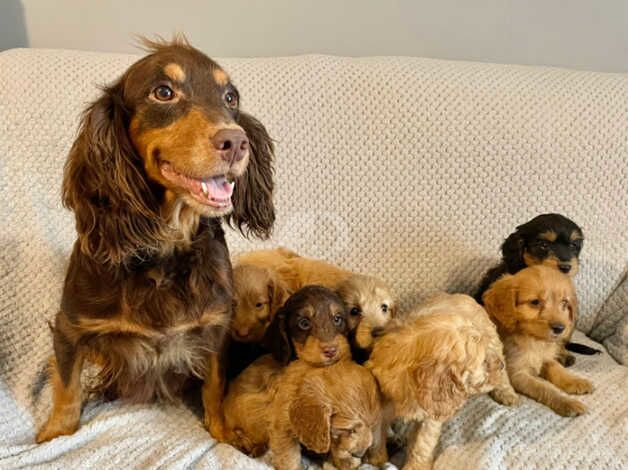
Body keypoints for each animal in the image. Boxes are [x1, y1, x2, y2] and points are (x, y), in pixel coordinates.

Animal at [36, 37, 272, 444]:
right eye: (163, 92)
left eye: (230, 97)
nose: (237, 142)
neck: (165, 250)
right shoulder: (70, 327)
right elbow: (67, 386)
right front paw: (56, 433)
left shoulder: (215, 327)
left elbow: (215, 385)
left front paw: (223, 432)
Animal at [366, 294, 516, 470]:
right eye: (483, 361)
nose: (499, 364)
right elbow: (377, 438)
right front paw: (378, 461)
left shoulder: (431, 415)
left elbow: (422, 443)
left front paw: (416, 466)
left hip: (494, 340)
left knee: (503, 376)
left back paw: (507, 394)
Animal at [480, 266, 592, 416]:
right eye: (535, 302)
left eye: (564, 303)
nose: (560, 328)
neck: (535, 341)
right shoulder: (517, 374)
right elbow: (544, 388)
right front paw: (567, 403)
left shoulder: (545, 359)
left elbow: (558, 369)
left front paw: (576, 381)